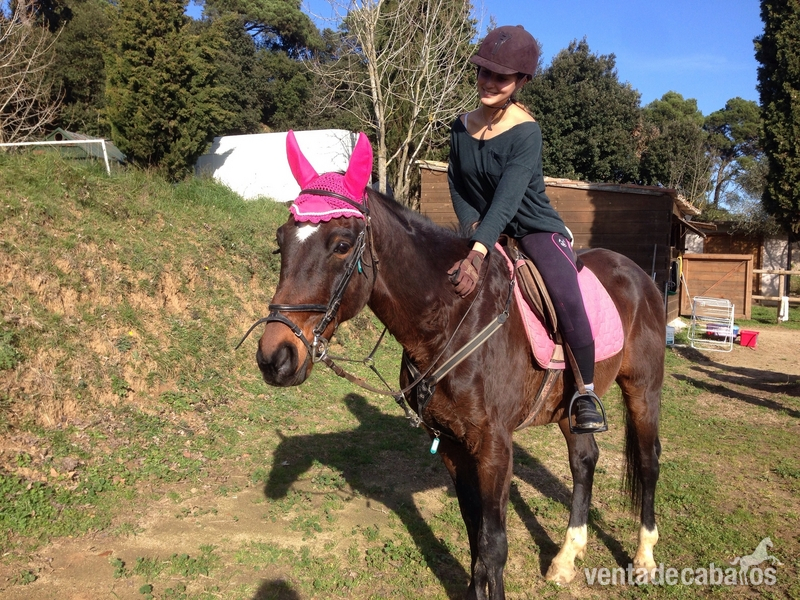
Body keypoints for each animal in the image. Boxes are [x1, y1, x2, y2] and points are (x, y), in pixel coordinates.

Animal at [251, 131, 665, 599]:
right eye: (281, 241)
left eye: (341, 244)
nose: (275, 356)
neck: (451, 317)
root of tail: (640, 275)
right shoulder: (452, 444)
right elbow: (474, 537)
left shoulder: (494, 448)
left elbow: (494, 544)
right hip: (570, 404)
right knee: (584, 459)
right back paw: (565, 558)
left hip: (643, 389)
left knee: (648, 462)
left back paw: (644, 559)